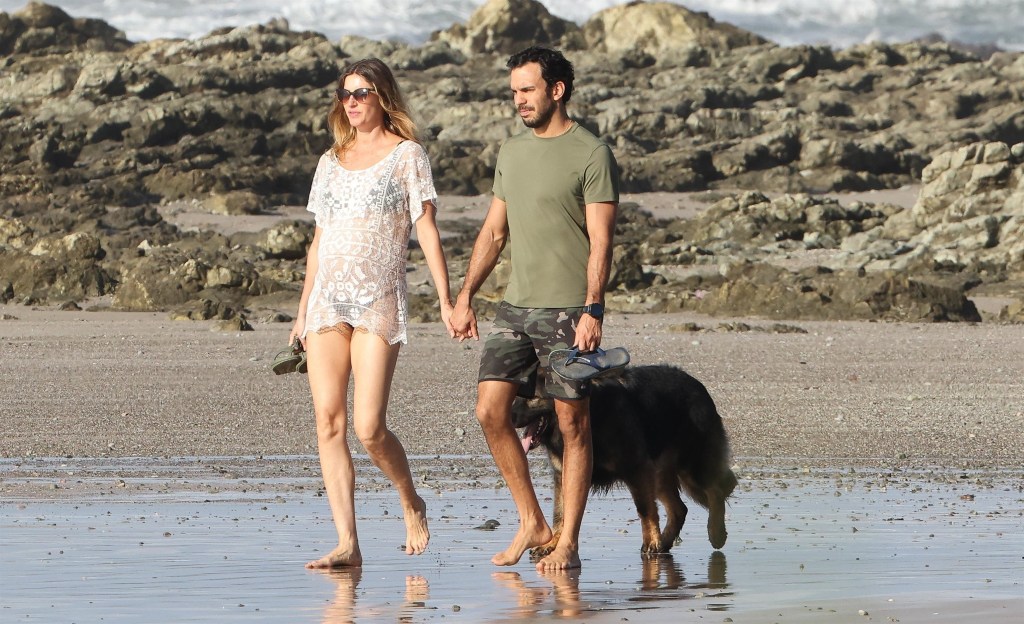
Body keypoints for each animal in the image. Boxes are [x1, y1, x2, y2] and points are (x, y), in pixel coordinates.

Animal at [512, 364, 737, 553]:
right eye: (517, 395)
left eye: (533, 398)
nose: (509, 417)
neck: (591, 416)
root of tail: (697, 384)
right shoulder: (564, 475)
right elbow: (561, 513)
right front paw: (552, 544)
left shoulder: (637, 469)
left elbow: (645, 509)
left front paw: (651, 541)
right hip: (660, 474)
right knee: (680, 508)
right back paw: (666, 542)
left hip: (690, 467)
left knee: (718, 489)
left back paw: (715, 532)